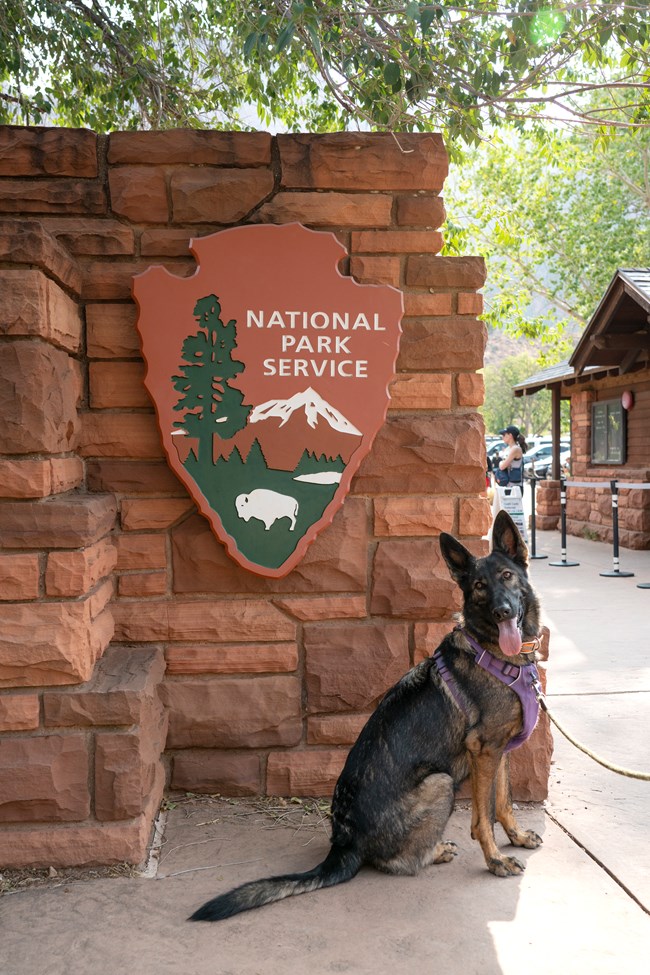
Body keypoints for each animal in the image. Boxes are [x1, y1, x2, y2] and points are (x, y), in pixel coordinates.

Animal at [189, 510, 540, 924]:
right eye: (479, 586)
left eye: (507, 576)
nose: (503, 611)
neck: (496, 652)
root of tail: (345, 842)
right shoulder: (484, 750)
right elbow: (483, 819)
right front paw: (496, 860)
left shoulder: (500, 750)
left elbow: (503, 802)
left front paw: (517, 838)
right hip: (440, 782)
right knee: (397, 863)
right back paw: (434, 852)